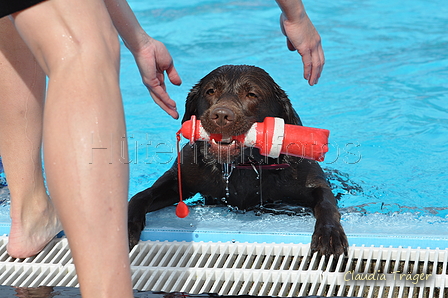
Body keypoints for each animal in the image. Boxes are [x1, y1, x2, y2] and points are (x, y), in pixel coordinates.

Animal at [128, 65, 348, 256]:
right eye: (210, 91)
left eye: (252, 94)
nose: (221, 115)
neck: (242, 165)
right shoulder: (179, 177)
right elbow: (141, 195)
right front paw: (127, 224)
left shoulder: (312, 181)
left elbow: (326, 202)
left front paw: (329, 233)